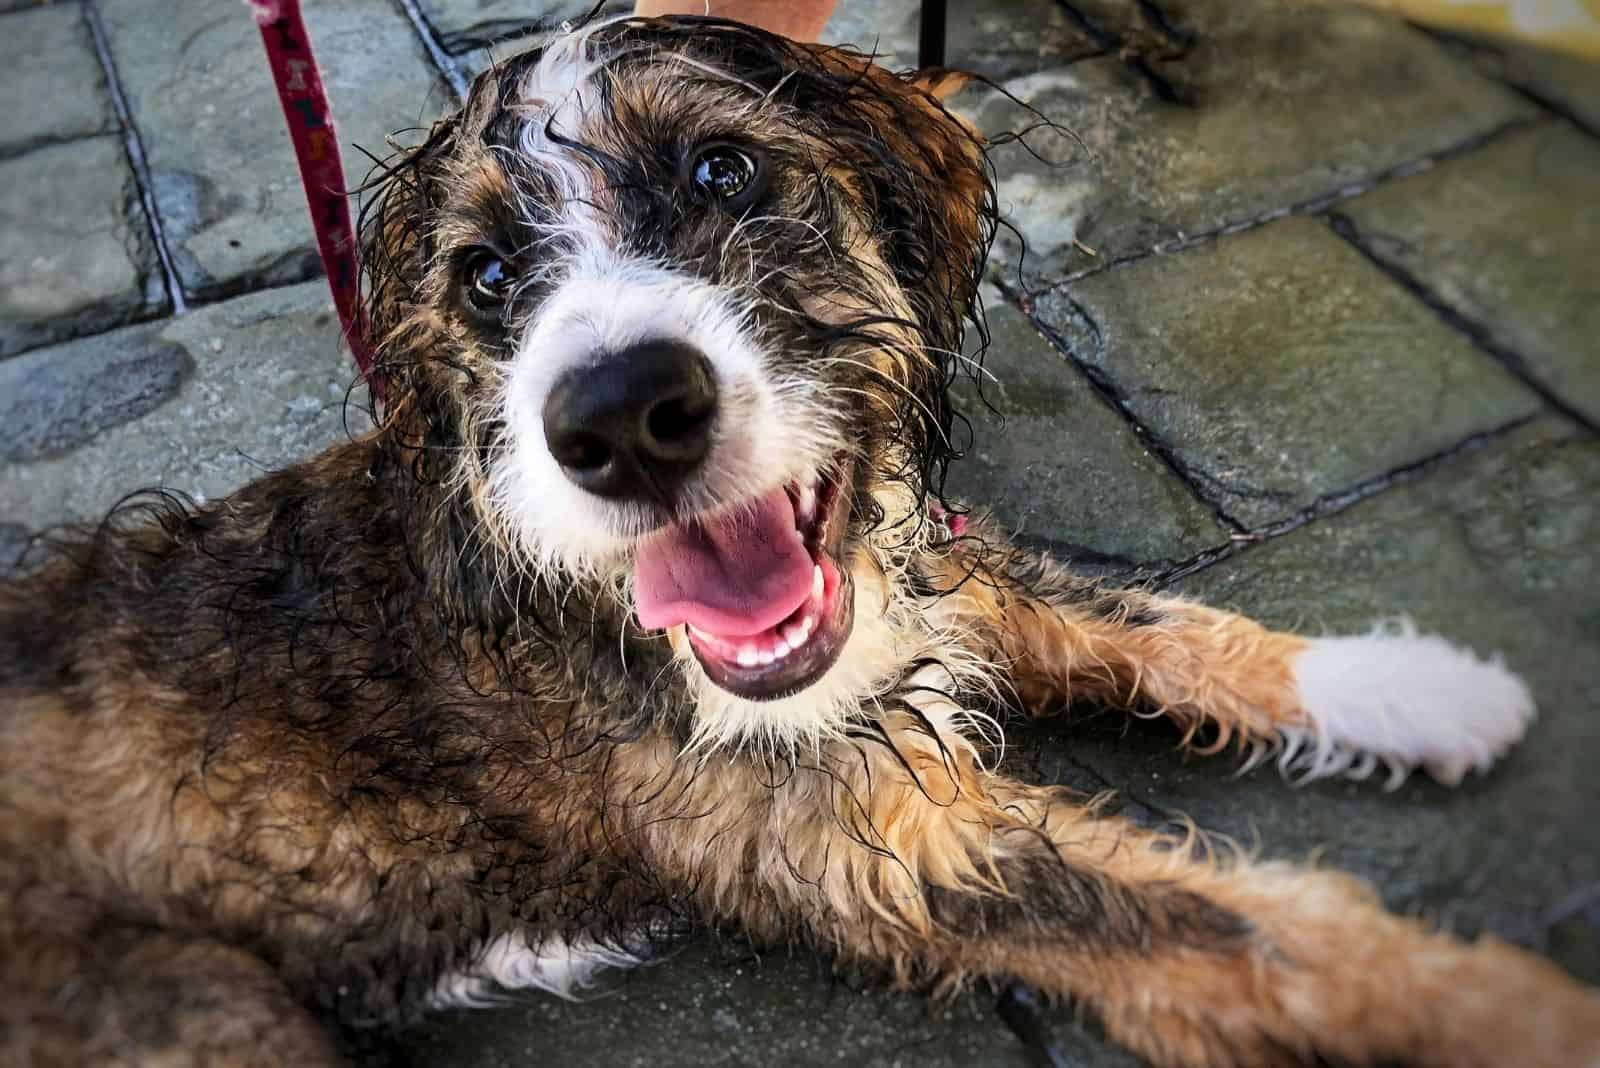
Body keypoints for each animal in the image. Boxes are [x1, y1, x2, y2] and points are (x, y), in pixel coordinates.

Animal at [3, 14, 1600, 1068]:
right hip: (205, 1012)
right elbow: (1267, 933)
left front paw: (1413, 688)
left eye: (723, 172)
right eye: (489, 273)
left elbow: (1138, 619)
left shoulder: (929, 577)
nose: (623, 415)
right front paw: (1522, 1013)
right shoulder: (893, 852)